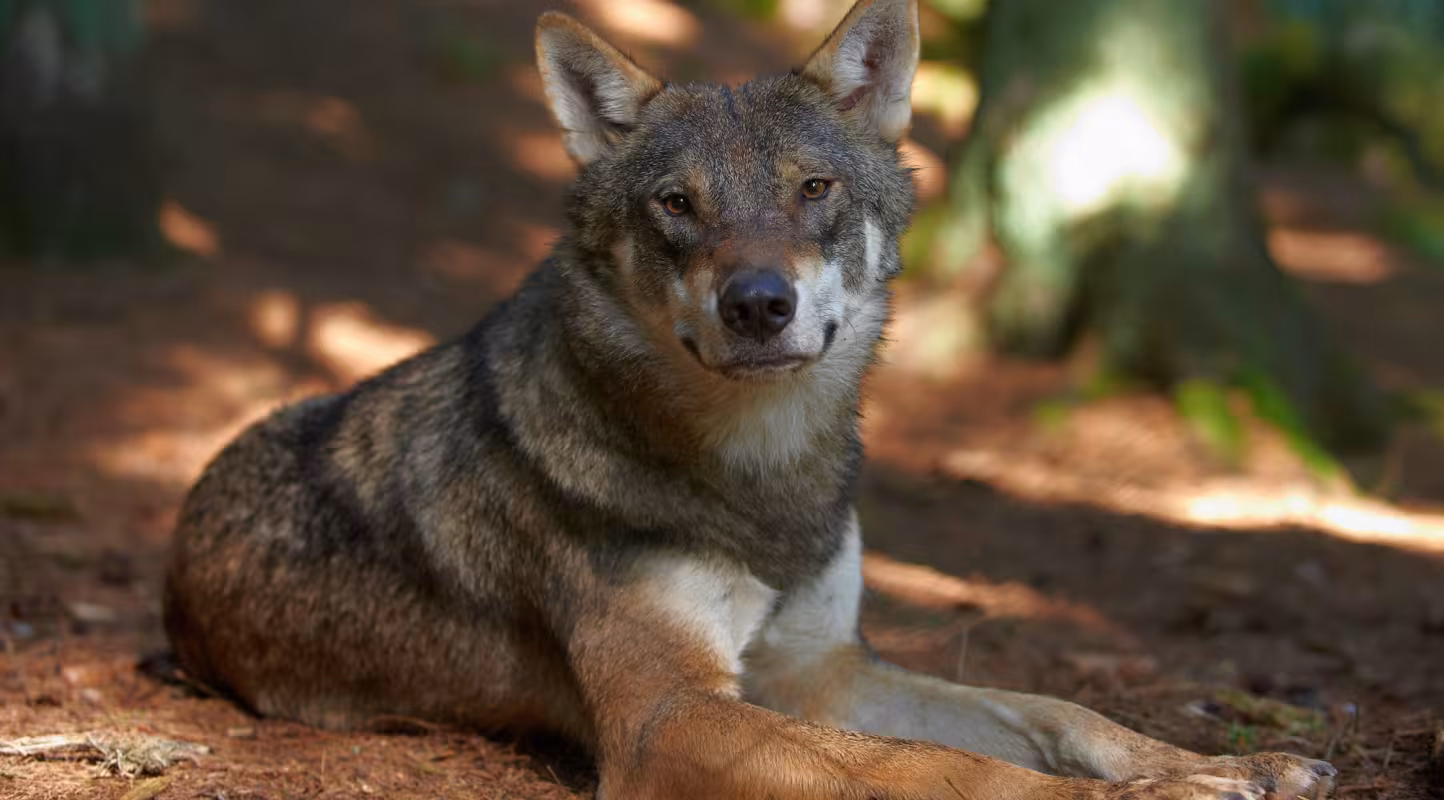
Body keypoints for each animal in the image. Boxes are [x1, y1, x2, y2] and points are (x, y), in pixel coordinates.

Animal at [162, 1, 1337, 797]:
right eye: (677, 205)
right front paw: (1171, 788)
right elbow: (937, 766)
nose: (760, 304)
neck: (761, 478)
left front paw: (1221, 761)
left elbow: (1054, 710)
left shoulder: (824, 672)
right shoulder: (670, 715)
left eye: (812, 188)